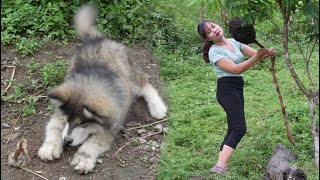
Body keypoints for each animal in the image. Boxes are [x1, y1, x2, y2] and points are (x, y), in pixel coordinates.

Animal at [38, 4, 168, 174]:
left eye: (84, 124)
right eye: (68, 120)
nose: (67, 140)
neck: (91, 84)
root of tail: (99, 38)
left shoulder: (109, 128)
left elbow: (94, 142)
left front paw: (84, 158)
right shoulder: (60, 113)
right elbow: (53, 128)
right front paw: (50, 146)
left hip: (131, 77)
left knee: (146, 85)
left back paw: (157, 107)